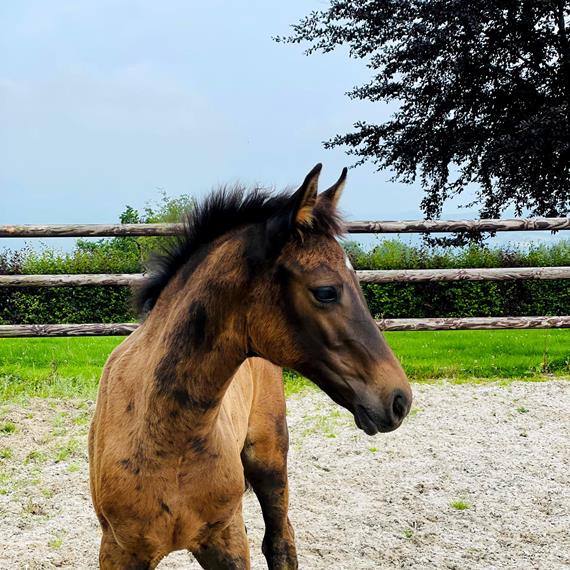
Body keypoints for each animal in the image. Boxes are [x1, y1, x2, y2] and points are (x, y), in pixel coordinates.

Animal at [87, 162, 408, 564]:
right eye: (325, 291)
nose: (399, 399)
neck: (170, 441)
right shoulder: (119, 550)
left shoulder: (227, 538)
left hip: (270, 457)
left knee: (281, 539)